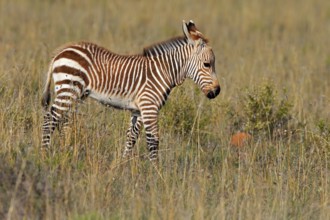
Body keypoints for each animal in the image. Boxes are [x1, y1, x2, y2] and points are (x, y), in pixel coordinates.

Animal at [42, 20, 222, 162]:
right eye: (207, 64)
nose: (217, 91)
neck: (163, 72)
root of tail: (61, 51)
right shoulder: (149, 107)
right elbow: (153, 141)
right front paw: (156, 174)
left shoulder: (138, 110)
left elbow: (131, 138)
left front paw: (123, 166)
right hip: (68, 89)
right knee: (50, 119)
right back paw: (45, 155)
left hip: (74, 93)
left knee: (63, 121)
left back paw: (66, 151)